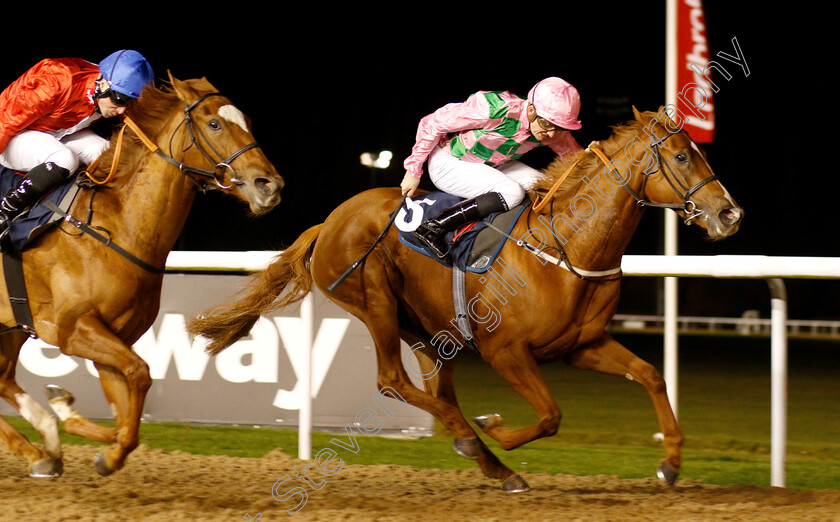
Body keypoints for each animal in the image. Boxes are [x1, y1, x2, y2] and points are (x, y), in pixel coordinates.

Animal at [0, 72, 286, 476]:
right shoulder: (74, 329)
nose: (270, 185)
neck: (118, 226)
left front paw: (80, 426)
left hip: (10, 327)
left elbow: (125, 416)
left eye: (246, 120)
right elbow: (140, 375)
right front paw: (89, 434)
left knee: (3, 378)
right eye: (214, 123)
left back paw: (41, 451)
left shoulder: (113, 336)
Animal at [190, 106, 740, 492]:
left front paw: (670, 464)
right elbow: (550, 415)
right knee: (393, 382)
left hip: (424, 327)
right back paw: (474, 442)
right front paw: (494, 427)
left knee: (437, 390)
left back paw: (487, 459)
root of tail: (328, 222)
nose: (729, 213)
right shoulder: (506, 351)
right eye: (683, 156)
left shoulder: (582, 345)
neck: (564, 245)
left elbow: (650, 375)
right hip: (374, 300)